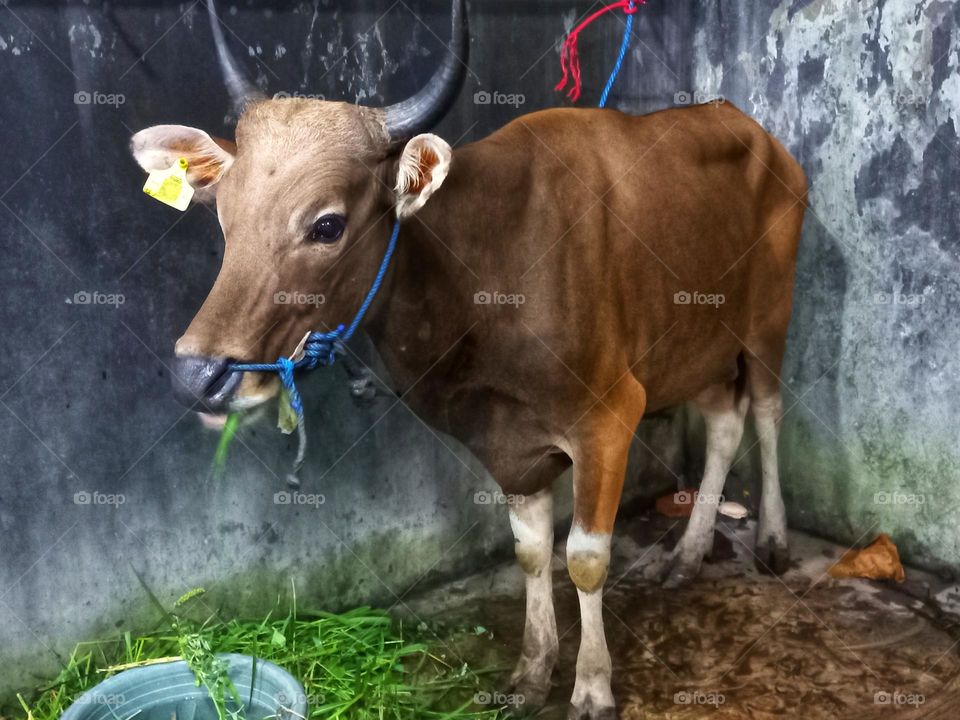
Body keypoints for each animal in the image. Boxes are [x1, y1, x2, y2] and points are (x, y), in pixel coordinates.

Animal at [129, 1, 807, 717]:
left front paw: (592, 686)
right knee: (725, 421)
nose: (198, 376)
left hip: (769, 319)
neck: (483, 271)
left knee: (766, 411)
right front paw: (533, 670)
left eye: (327, 225)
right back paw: (689, 553)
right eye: (224, 217)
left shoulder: (610, 417)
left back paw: (773, 541)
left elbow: (585, 559)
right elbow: (532, 553)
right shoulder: (507, 441)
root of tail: (755, 133)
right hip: (697, 344)